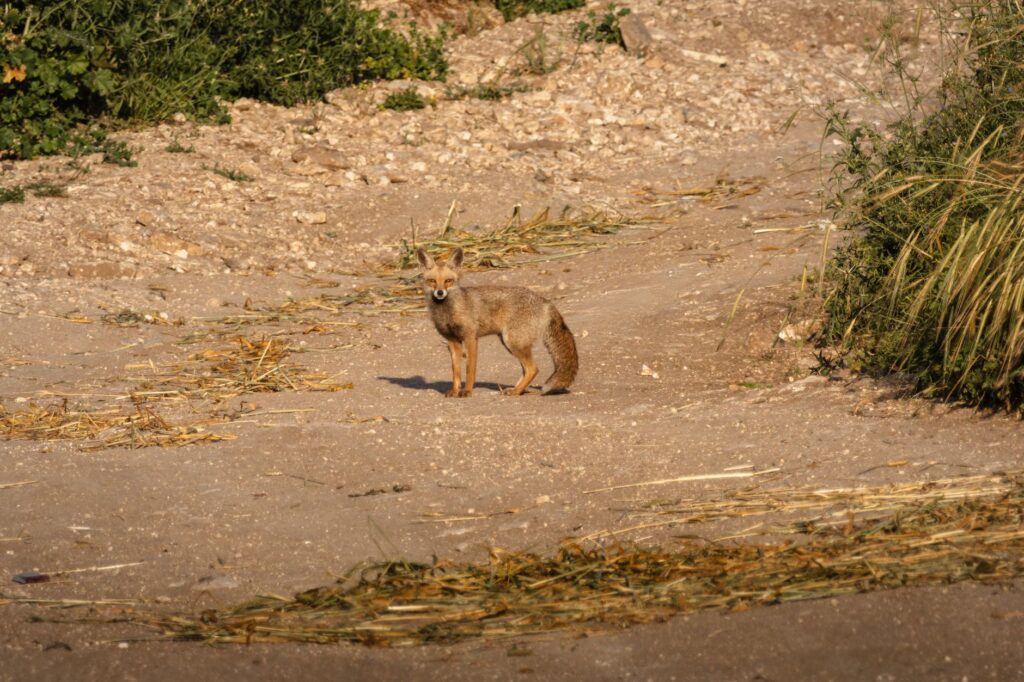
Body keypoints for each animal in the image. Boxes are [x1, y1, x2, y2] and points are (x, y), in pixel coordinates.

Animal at [416, 247, 578, 397]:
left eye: (448, 281)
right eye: (432, 281)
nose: (440, 293)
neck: (447, 312)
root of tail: (545, 301)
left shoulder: (470, 338)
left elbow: (470, 369)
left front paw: (467, 391)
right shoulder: (452, 341)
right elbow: (455, 371)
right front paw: (455, 391)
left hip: (513, 342)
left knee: (533, 369)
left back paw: (516, 391)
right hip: (509, 343)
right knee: (526, 370)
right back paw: (516, 390)